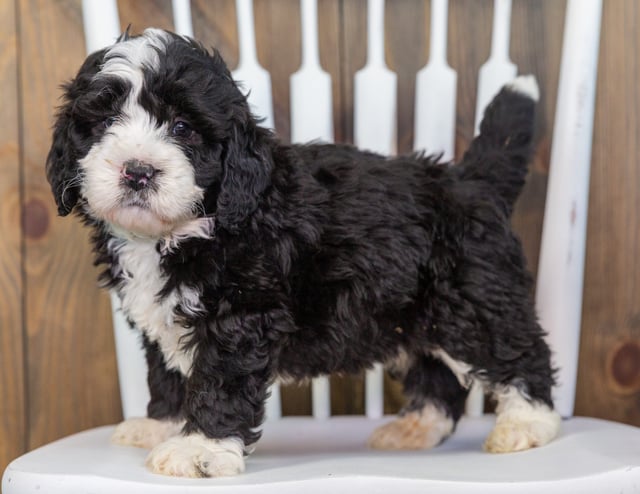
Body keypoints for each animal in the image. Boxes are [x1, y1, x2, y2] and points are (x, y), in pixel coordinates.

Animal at [46, 29, 560, 476]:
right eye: (105, 122)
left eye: (183, 128)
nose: (137, 171)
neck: (192, 226)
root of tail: (470, 181)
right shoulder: (165, 317)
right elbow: (167, 373)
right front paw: (161, 425)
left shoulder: (242, 313)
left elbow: (219, 379)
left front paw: (199, 449)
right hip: (414, 313)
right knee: (436, 372)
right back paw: (419, 427)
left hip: (467, 300)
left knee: (515, 351)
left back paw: (528, 424)